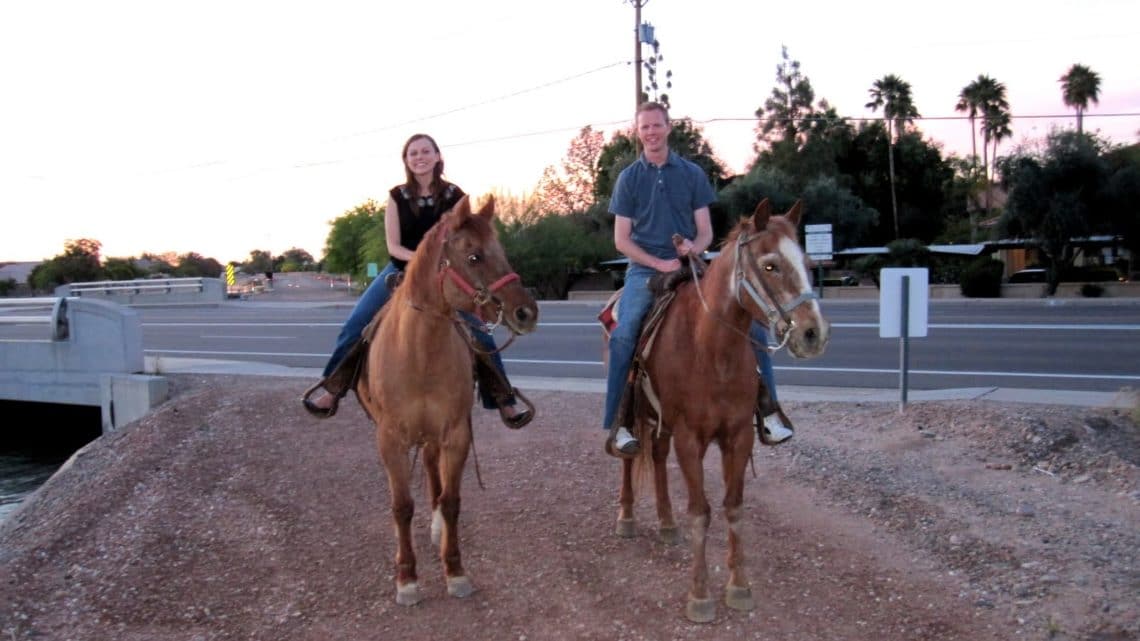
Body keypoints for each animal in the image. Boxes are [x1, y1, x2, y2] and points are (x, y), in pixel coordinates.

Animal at [353, 195, 535, 602]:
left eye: (502, 250)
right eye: (474, 256)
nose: (526, 312)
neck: (420, 351)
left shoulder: (455, 434)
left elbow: (452, 502)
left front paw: (455, 571)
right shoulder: (390, 439)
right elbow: (401, 506)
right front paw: (407, 578)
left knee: (433, 470)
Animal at [615, 198, 829, 620]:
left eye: (809, 263)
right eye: (770, 265)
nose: (813, 333)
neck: (713, 351)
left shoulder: (738, 435)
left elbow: (734, 508)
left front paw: (739, 586)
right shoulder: (690, 438)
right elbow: (701, 511)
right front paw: (700, 595)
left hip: (661, 419)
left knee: (658, 457)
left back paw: (666, 522)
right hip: (635, 410)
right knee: (631, 456)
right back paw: (627, 516)